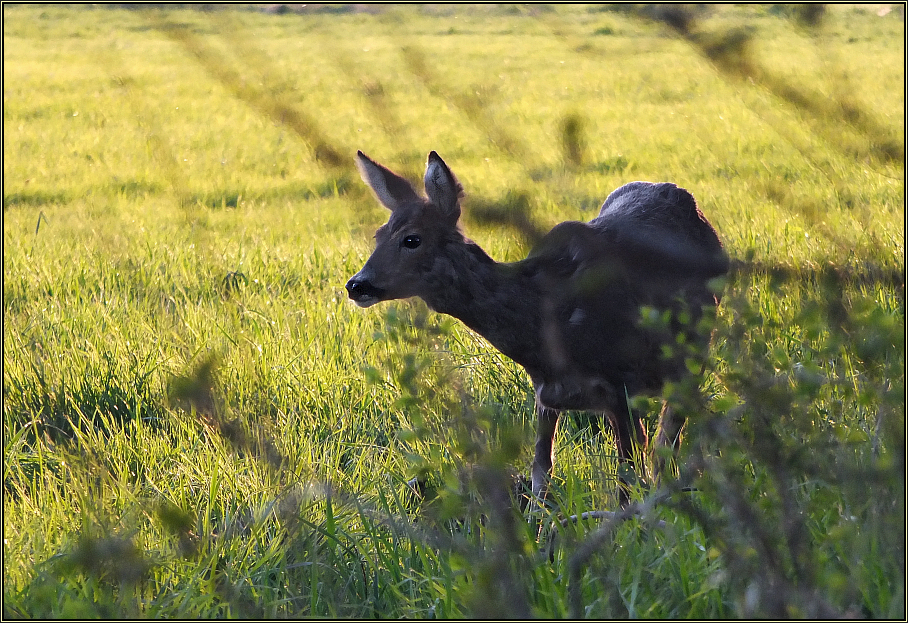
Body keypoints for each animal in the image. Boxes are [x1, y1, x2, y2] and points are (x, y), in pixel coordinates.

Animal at [344, 151, 728, 512]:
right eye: (379, 235)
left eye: (412, 239)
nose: (357, 285)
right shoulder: (547, 394)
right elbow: (541, 475)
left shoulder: (621, 382)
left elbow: (628, 477)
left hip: (692, 351)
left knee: (668, 437)